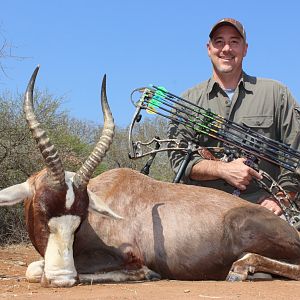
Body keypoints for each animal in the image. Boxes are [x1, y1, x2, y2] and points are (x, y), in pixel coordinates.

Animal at [0, 67, 300, 288]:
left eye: (80, 217)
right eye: (42, 209)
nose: (61, 279)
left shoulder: (124, 255)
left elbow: (37, 269)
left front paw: (145, 274)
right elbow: (34, 268)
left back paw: (241, 268)